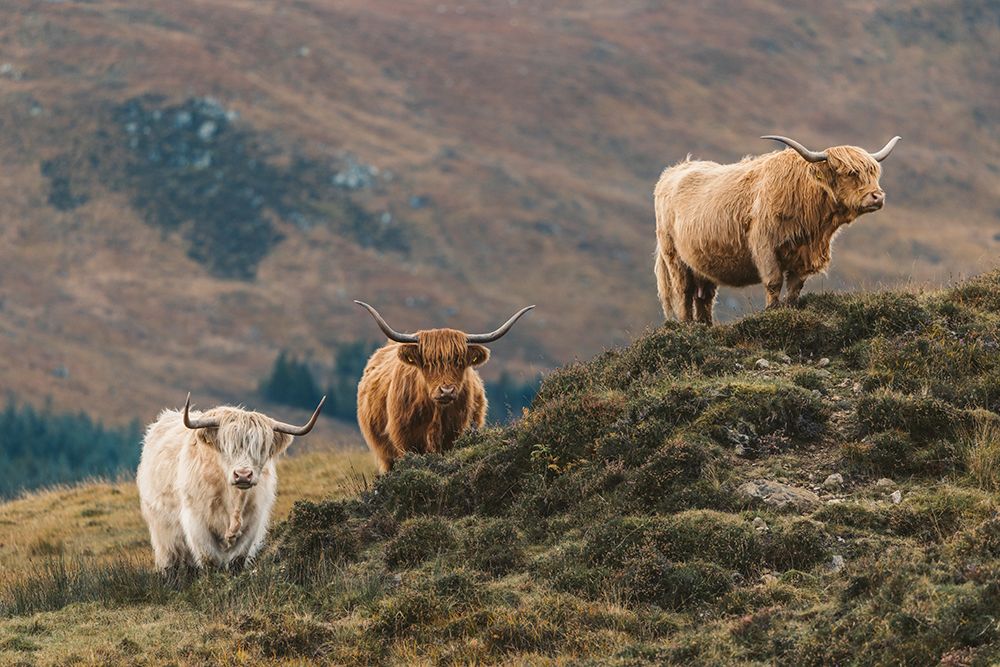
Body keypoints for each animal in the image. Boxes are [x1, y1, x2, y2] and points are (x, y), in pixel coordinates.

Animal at [136, 393, 325, 571]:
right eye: (227, 446)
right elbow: (209, 560)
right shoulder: (197, 522)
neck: (233, 499)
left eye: (261, 448)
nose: (243, 475)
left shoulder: (252, 523)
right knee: (171, 560)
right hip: (164, 532)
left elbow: (237, 560)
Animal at [354, 301, 533, 473]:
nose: (446, 391)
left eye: (459, 362)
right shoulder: (405, 440)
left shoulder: (455, 435)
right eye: (428, 363)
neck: (436, 413)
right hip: (385, 455)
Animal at [654, 135, 901, 324]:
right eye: (850, 173)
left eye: (873, 172)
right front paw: (771, 313)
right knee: (684, 292)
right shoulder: (765, 246)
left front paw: (789, 310)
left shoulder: (804, 255)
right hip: (674, 258)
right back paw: (687, 326)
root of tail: (673, 171)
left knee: (704, 297)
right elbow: (774, 283)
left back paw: (704, 326)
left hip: (701, 264)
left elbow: (795, 288)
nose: (877, 196)